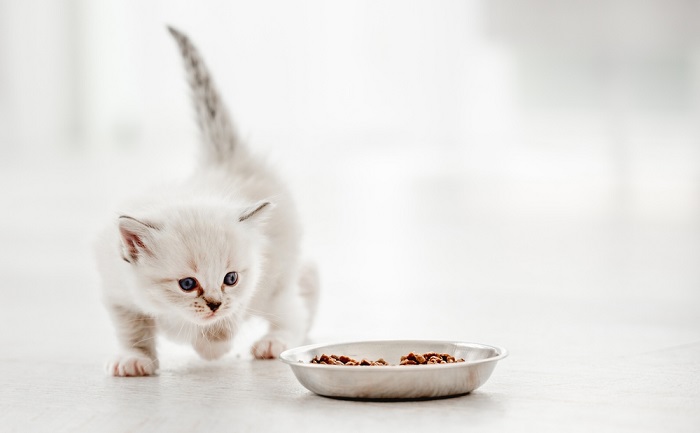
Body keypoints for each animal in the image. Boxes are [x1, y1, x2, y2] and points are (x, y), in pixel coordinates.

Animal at [94, 27, 318, 376]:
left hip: (276, 277)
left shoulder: (256, 275)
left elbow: (230, 316)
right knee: (308, 279)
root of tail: (227, 158)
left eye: (230, 278)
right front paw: (134, 358)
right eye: (187, 284)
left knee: (294, 304)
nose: (214, 303)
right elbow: (131, 328)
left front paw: (214, 344)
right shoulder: (117, 290)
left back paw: (275, 342)